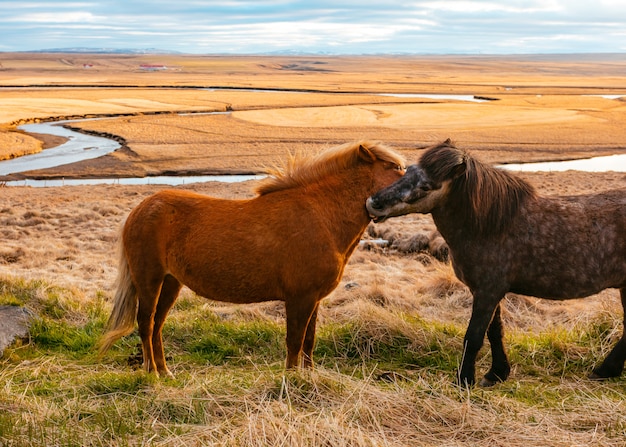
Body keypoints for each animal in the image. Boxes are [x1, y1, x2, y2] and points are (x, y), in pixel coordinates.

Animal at [99, 141, 402, 378]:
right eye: (396, 169)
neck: (320, 215)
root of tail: (140, 209)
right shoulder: (299, 298)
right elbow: (294, 342)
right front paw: (291, 381)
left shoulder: (313, 299)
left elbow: (308, 341)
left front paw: (308, 377)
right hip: (149, 280)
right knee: (145, 323)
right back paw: (152, 372)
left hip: (171, 282)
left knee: (157, 324)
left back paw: (164, 370)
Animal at [366, 142, 624, 386]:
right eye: (407, 170)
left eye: (426, 187)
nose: (373, 203)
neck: (490, 226)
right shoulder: (485, 291)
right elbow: (495, 331)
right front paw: (497, 373)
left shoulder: (488, 291)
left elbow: (474, 336)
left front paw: (464, 380)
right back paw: (606, 371)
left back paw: (605, 370)